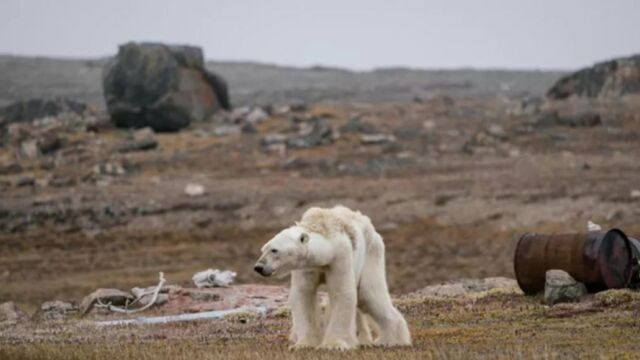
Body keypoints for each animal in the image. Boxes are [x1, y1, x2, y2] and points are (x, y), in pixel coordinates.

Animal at [254, 207, 410, 350]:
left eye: (274, 250)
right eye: (263, 249)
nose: (258, 267)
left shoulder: (339, 257)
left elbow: (341, 292)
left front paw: (333, 345)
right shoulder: (307, 266)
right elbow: (303, 294)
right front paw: (303, 344)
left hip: (371, 253)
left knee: (368, 294)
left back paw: (391, 340)